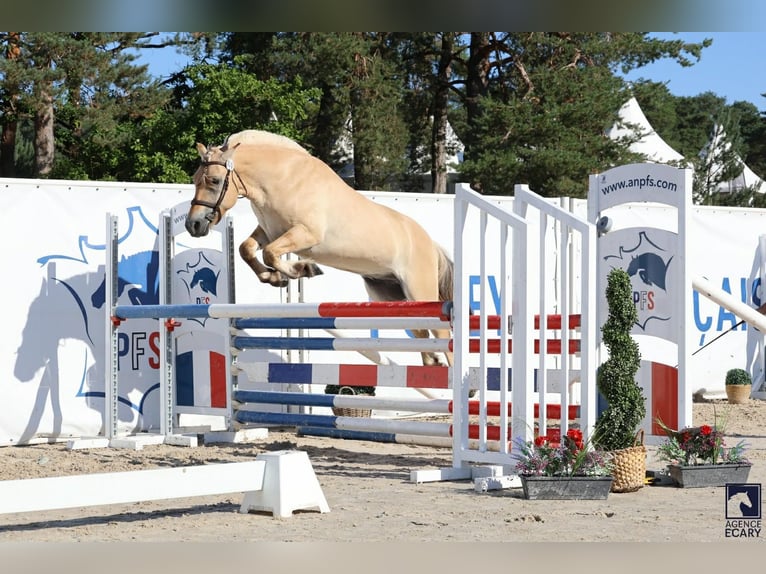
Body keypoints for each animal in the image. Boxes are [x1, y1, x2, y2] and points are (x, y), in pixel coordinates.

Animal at [184, 129, 454, 366]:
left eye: (214, 180)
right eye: (195, 180)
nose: (193, 225)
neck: (281, 180)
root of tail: (430, 244)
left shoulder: (305, 234)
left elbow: (270, 253)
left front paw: (301, 269)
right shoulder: (269, 232)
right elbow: (247, 249)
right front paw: (274, 278)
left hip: (419, 290)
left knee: (442, 335)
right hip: (389, 292)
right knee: (421, 332)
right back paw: (431, 362)